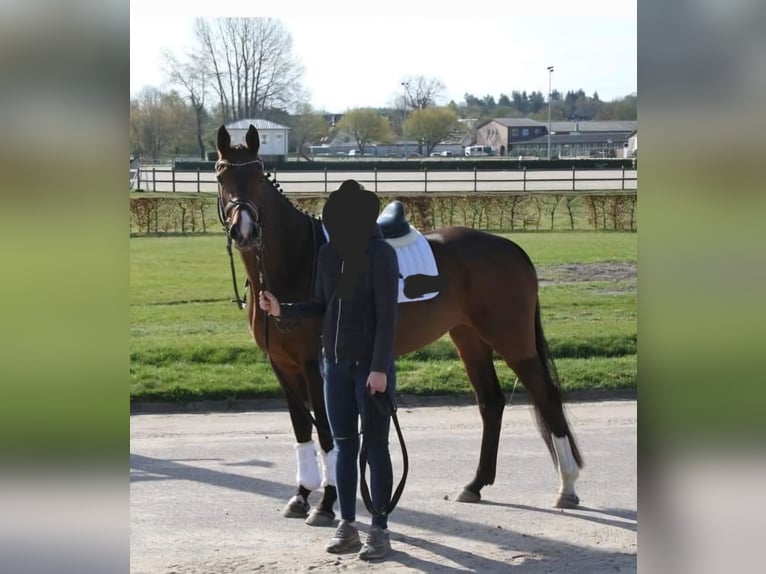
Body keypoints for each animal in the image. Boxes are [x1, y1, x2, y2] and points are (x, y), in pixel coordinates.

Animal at [213, 125, 584, 528]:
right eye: (221, 176)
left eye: (257, 176)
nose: (244, 231)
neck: (297, 261)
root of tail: (510, 249)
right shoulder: (282, 366)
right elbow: (301, 428)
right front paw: (300, 495)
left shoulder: (316, 366)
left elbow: (327, 432)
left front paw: (326, 503)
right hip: (469, 339)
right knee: (492, 402)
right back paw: (476, 484)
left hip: (513, 340)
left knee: (546, 395)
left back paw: (567, 485)